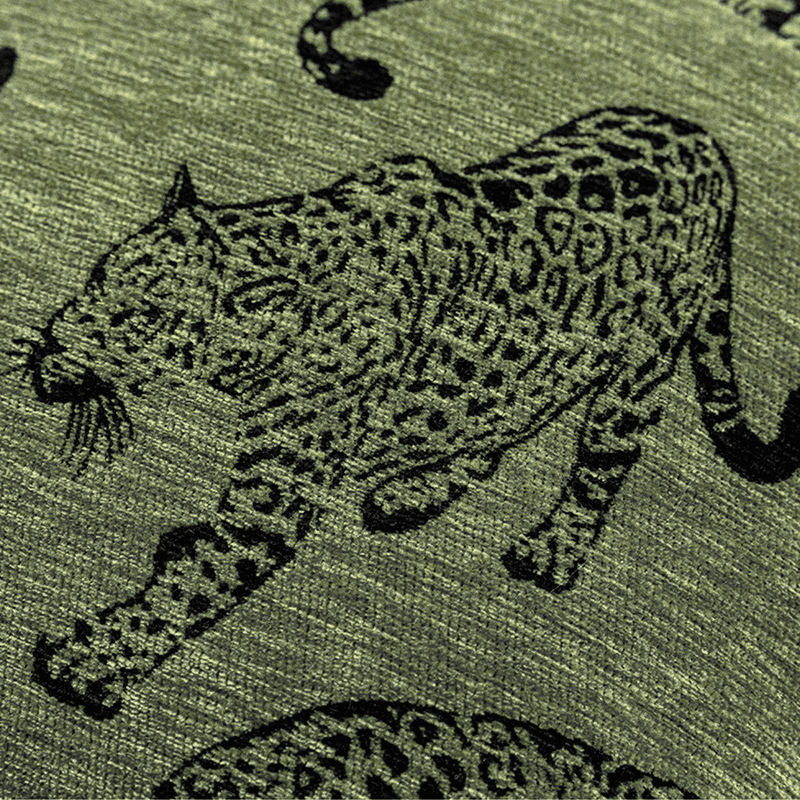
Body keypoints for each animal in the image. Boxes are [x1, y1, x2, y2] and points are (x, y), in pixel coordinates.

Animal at [10, 106, 798, 720]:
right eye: (94, 278)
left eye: (138, 320)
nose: (48, 347)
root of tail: (703, 138)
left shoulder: (276, 493)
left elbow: (198, 580)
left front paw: (96, 660)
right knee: (498, 415)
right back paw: (414, 491)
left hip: (642, 362)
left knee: (604, 455)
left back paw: (554, 548)